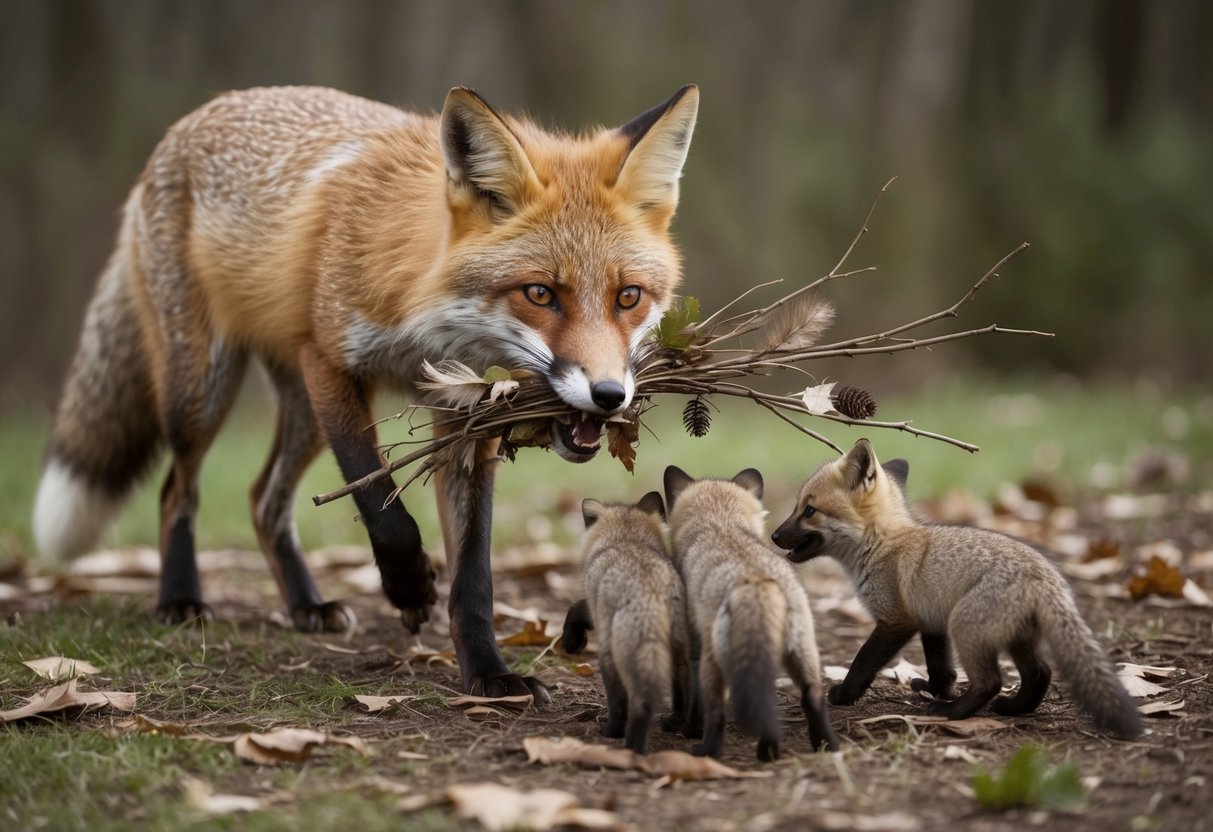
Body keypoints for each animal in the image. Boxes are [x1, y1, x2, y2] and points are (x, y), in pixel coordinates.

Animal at [32, 84, 699, 702]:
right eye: (540, 294)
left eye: (628, 297)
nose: (609, 395)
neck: (425, 314)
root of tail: (190, 120)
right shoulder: (330, 362)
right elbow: (379, 500)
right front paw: (407, 587)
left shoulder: (467, 415)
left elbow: (474, 576)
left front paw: (489, 673)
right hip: (203, 390)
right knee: (178, 489)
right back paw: (179, 599)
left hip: (298, 414)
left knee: (262, 500)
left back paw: (306, 605)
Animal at [563, 492, 690, 754]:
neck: (627, 540)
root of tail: (651, 591)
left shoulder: (596, 607)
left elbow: (576, 608)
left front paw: (571, 640)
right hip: (681, 654)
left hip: (613, 655)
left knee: (631, 701)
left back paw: (623, 740)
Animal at [664, 466, 838, 761]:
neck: (720, 524)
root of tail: (755, 579)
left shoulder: (695, 645)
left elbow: (696, 702)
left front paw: (689, 729)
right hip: (801, 652)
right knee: (811, 696)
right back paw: (813, 747)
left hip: (715, 662)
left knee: (717, 713)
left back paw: (707, 751)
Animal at [771, 438, 1144, 739]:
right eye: (798, 508)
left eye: (809, 511)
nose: (774, 535)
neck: (881, 544)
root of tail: (1048, 578)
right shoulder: (931, 623)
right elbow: (941, 669)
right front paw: (936, 689)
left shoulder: (897, 621)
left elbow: (863, 661)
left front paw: (845, 694)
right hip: (1013, 637)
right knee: (1041, 672)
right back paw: (1014, 709)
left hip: (966, 627)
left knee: (991, 681)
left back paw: (954, 713)